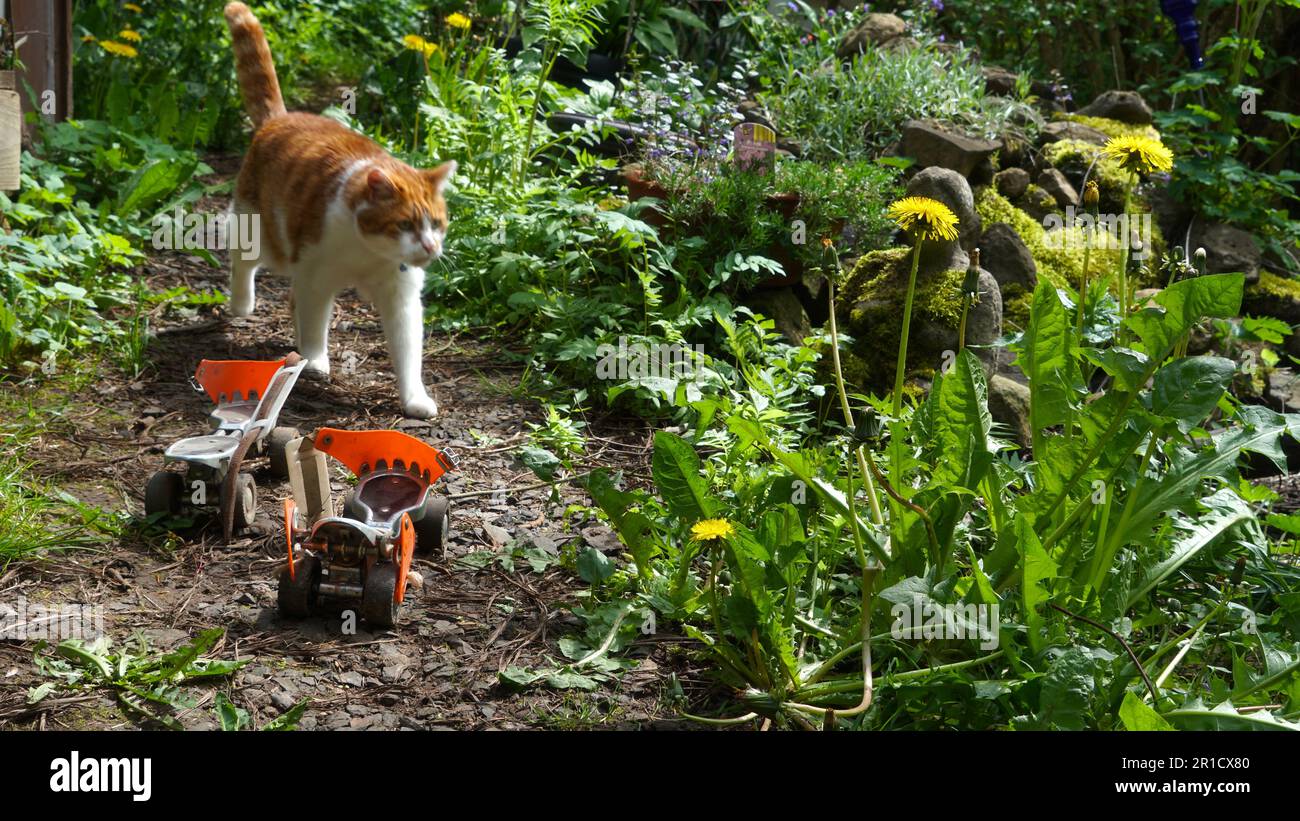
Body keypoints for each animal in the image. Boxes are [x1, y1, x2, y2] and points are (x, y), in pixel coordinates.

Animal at [219, 1, 452, 415]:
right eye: (405, 224)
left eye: (437, 224)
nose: (430, 246)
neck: (367, 252)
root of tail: (281, 118)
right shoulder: (316, 275)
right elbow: (315, 322)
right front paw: (315, 360)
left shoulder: (401, 296)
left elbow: (408, 349)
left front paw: (415, 398)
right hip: (265, 235)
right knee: (243, 261)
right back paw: (242, 304)